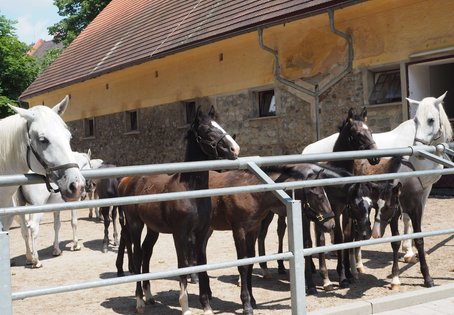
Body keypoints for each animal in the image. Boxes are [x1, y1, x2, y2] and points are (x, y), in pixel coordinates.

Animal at [118, 107, 241, 314]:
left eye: (219, 125)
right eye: (208, 131)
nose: (235, 149)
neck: (191, 191)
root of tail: (129, 181)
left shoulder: (201, 233)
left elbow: (201, 264)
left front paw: (206, 306)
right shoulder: (180, 234)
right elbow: (183, 265)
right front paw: (185, 307)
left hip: (153, 229)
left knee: (146, 252)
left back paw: (149, 296)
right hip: (135, 225)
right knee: (137, 254)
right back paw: (140, 301)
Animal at [208, 164, 334, 314]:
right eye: (319, 197)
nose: (331, 224)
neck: (251, 194)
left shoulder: (253, 229)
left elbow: (250, 263)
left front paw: (253, 300)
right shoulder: (239, 231)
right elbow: (243, 265)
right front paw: (246, 305)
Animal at [304, 92, 452, 264]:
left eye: (431, 120)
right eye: (416, 120)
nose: (418, 150)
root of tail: (308, 149)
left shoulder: (425, 189)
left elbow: (416, 217)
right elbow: (407, 218)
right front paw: (408, 252)